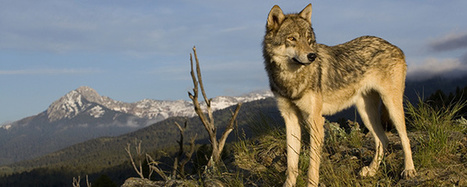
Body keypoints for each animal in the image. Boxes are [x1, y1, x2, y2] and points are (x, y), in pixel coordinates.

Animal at [264, 3, 416, 186]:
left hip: (391, 106)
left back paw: (409, 170)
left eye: (308, 39)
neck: (290, 79)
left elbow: (312, 166)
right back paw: (371, 171)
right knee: (383, 140)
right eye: (292, 38)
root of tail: (394, 46)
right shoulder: (290, 118)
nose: (312, 56)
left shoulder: (315, 119)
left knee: (404, 138)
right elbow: (291, 164)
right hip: (366, 112)